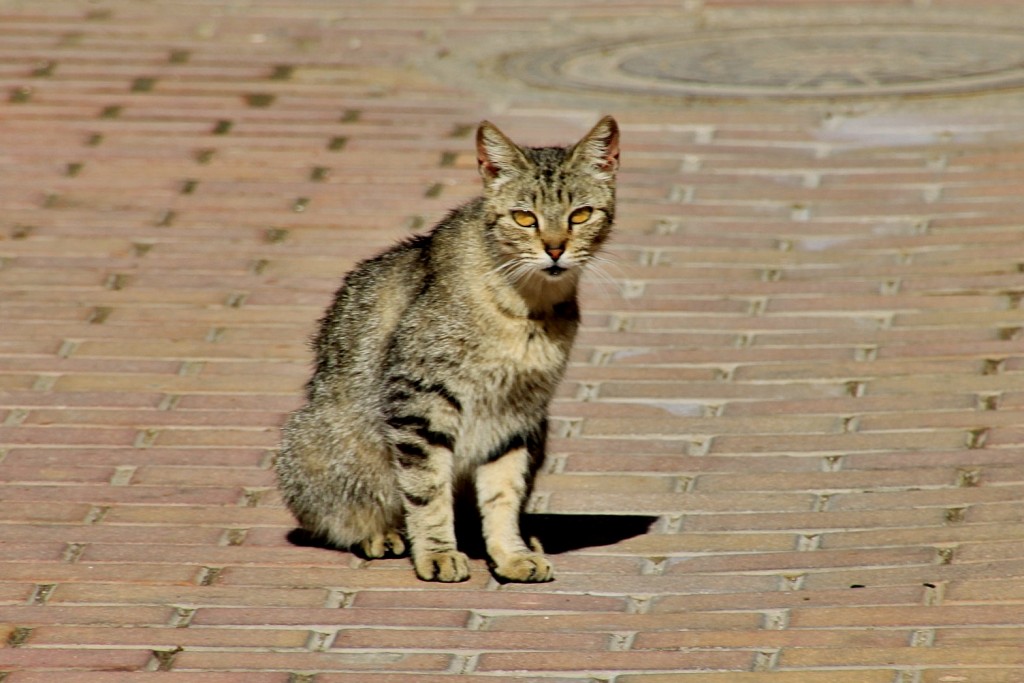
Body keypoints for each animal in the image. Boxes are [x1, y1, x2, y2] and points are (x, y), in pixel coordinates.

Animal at [272, 116, 618, 581]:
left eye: (580, 215)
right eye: (524, 217)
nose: (555, 249)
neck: (530, 310)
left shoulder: (516, 415)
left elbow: (504, 494)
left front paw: (511, 553)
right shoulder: (418, 400)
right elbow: (427, 490)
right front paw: (436, 552)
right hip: (312, 440)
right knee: (335, 516)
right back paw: (378, 533)